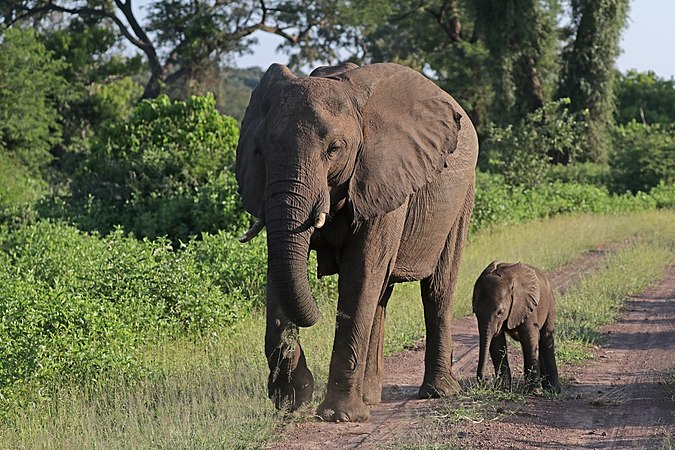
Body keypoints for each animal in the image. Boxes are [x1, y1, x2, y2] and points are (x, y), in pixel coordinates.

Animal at [238, 61, 480, 420]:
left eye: (334, 149)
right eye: (259, 151)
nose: (315, 314)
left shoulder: (384, 176)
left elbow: (361, 272)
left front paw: (337, 416)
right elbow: (279, 269)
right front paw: (292, 398)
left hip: (463, 194)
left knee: (437, 289)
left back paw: (437, 392)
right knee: (381, 295)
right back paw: (370, 397)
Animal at [472, 262, 564, 392]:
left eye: (500, 312)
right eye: (475, 312)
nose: (484, 381)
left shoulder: (527, 304)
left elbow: (528, 338)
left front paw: (534, 391)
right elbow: (497, 343)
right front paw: (503, 389)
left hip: (550, 303)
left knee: (546, 339)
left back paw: (553, 390)